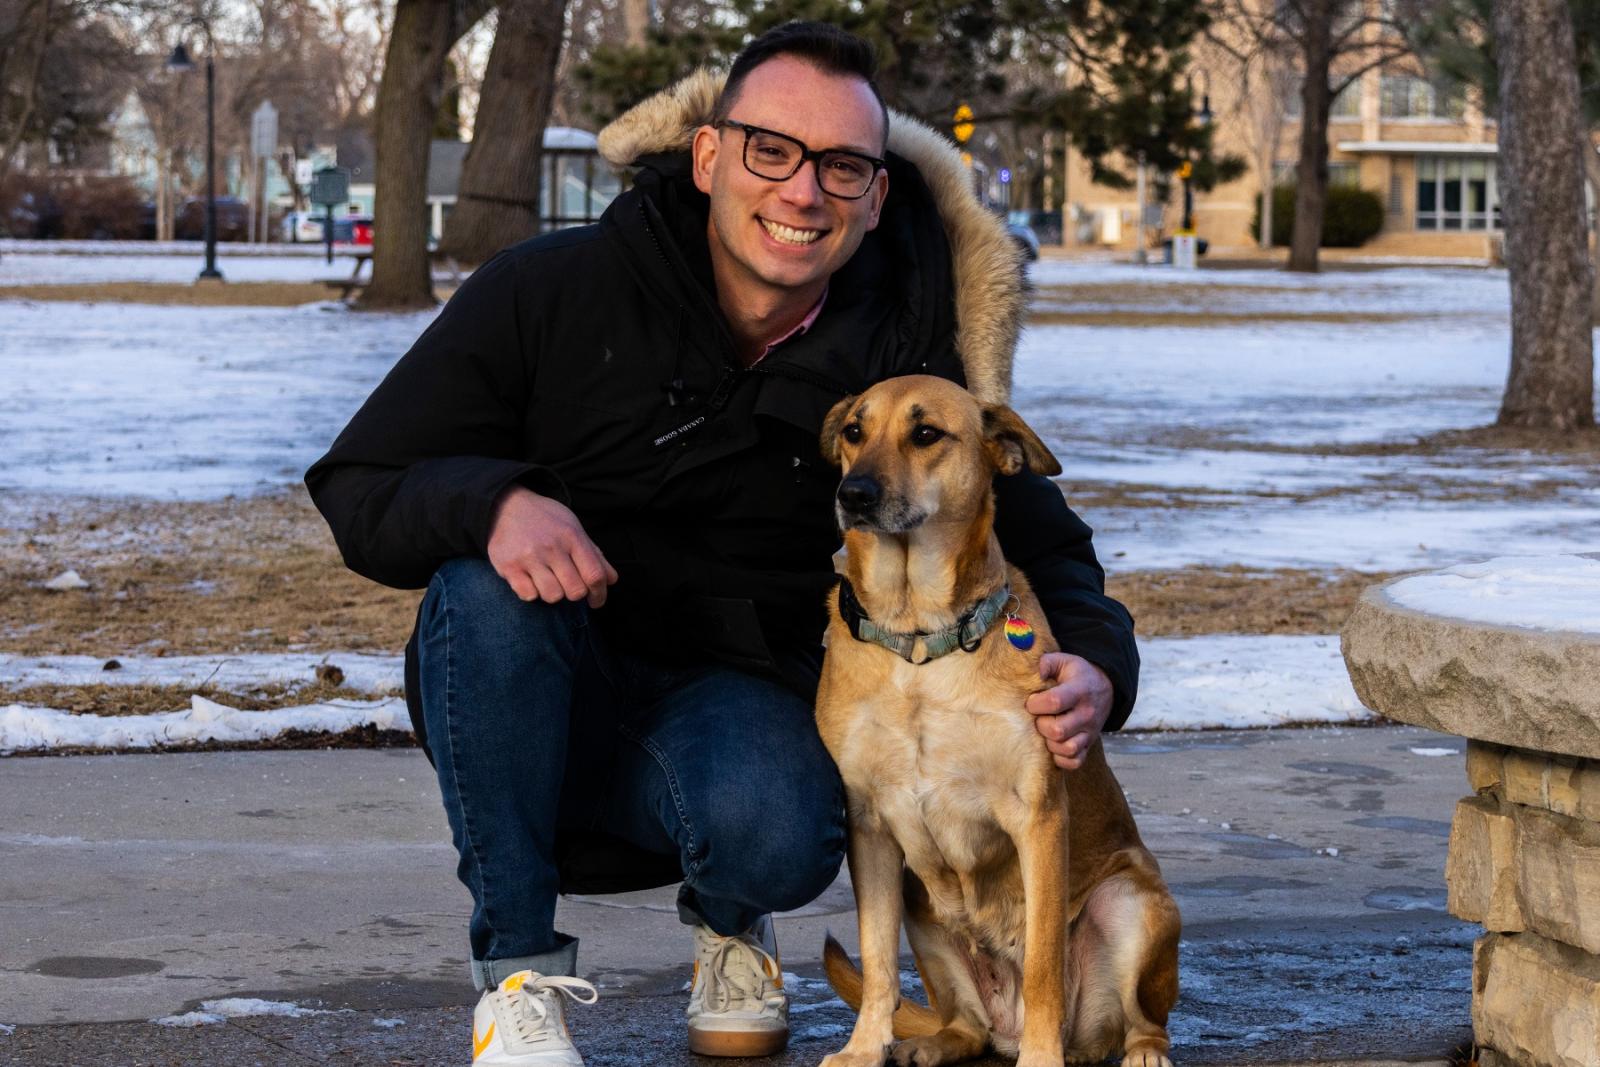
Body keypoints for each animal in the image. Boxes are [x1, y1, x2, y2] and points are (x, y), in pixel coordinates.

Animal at [819, 375, 1184, 1067]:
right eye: (854, 431)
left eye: (926, 433)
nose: (853, 494)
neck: (919, 639)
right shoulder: (869, 826)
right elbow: (877, 960)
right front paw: (863, 1048)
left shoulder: (1037, 819)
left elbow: (1042, 963)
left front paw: (1043, 1060)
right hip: (922, 904)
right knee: (965, 1023)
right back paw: (933, 1043)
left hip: (1133, 904)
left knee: (1145, 1020)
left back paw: (1140, 1051)